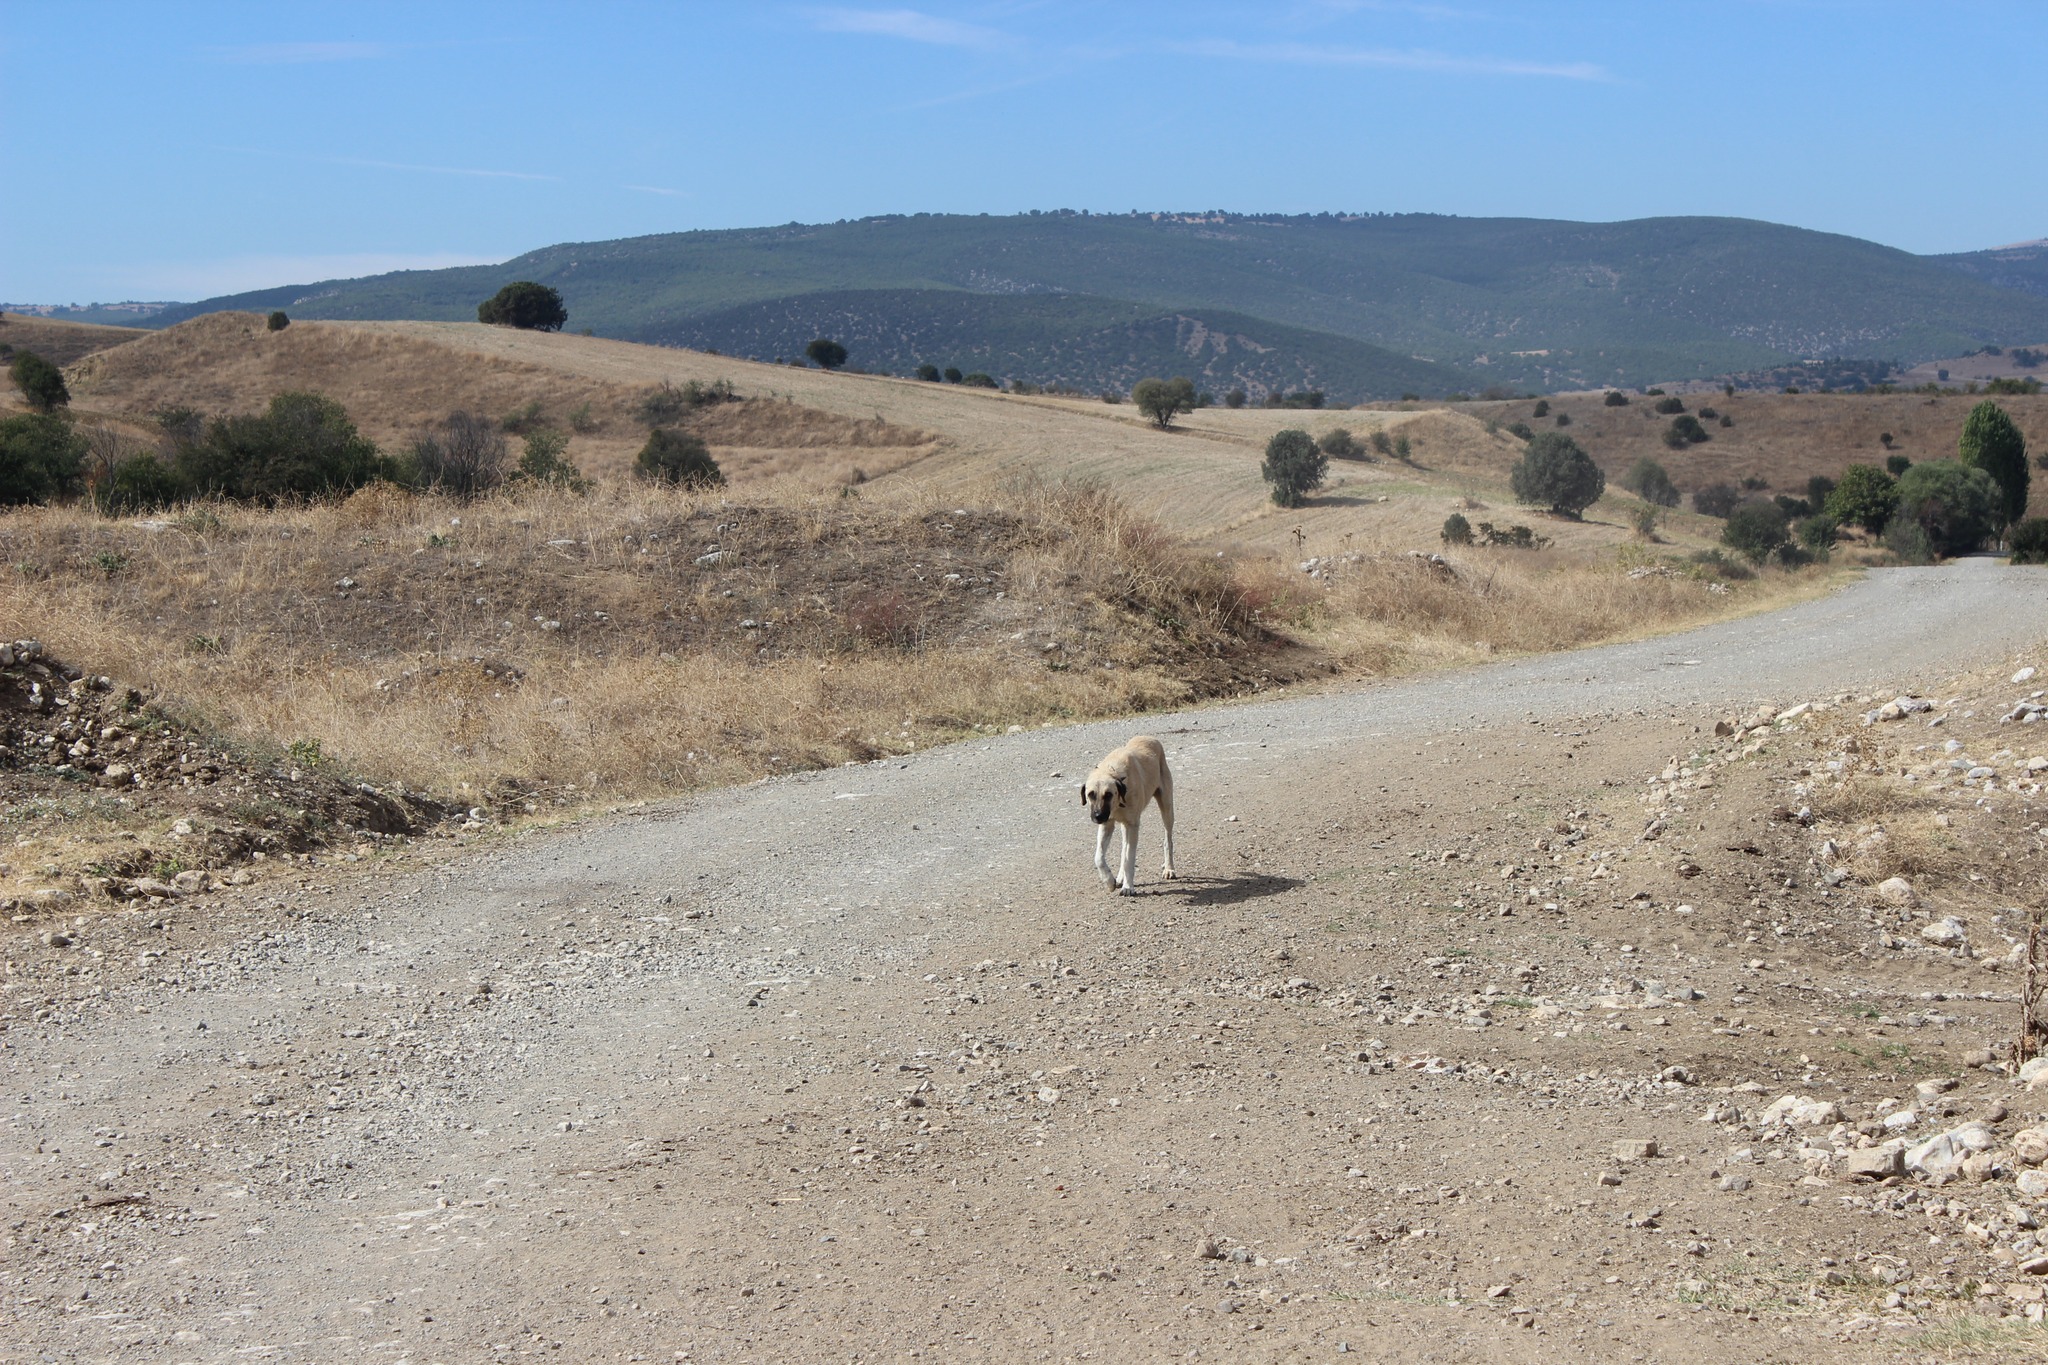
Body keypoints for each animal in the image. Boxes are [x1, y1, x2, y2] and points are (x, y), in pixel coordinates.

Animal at [1081, 736, 1179, 896]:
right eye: (1090, 794)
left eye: (1108, 794)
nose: (1098, 817)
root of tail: (1151, 738)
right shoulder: (1107, 825)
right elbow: (1099, 857)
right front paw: (1109, 881)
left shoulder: (1133, 826)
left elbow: (1129, 858)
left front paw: (1128, 887)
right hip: (1124, 825)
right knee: (1123, 848)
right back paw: (1120, 876)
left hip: (1166, 808)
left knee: (1167, 839)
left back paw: (1169, 868)